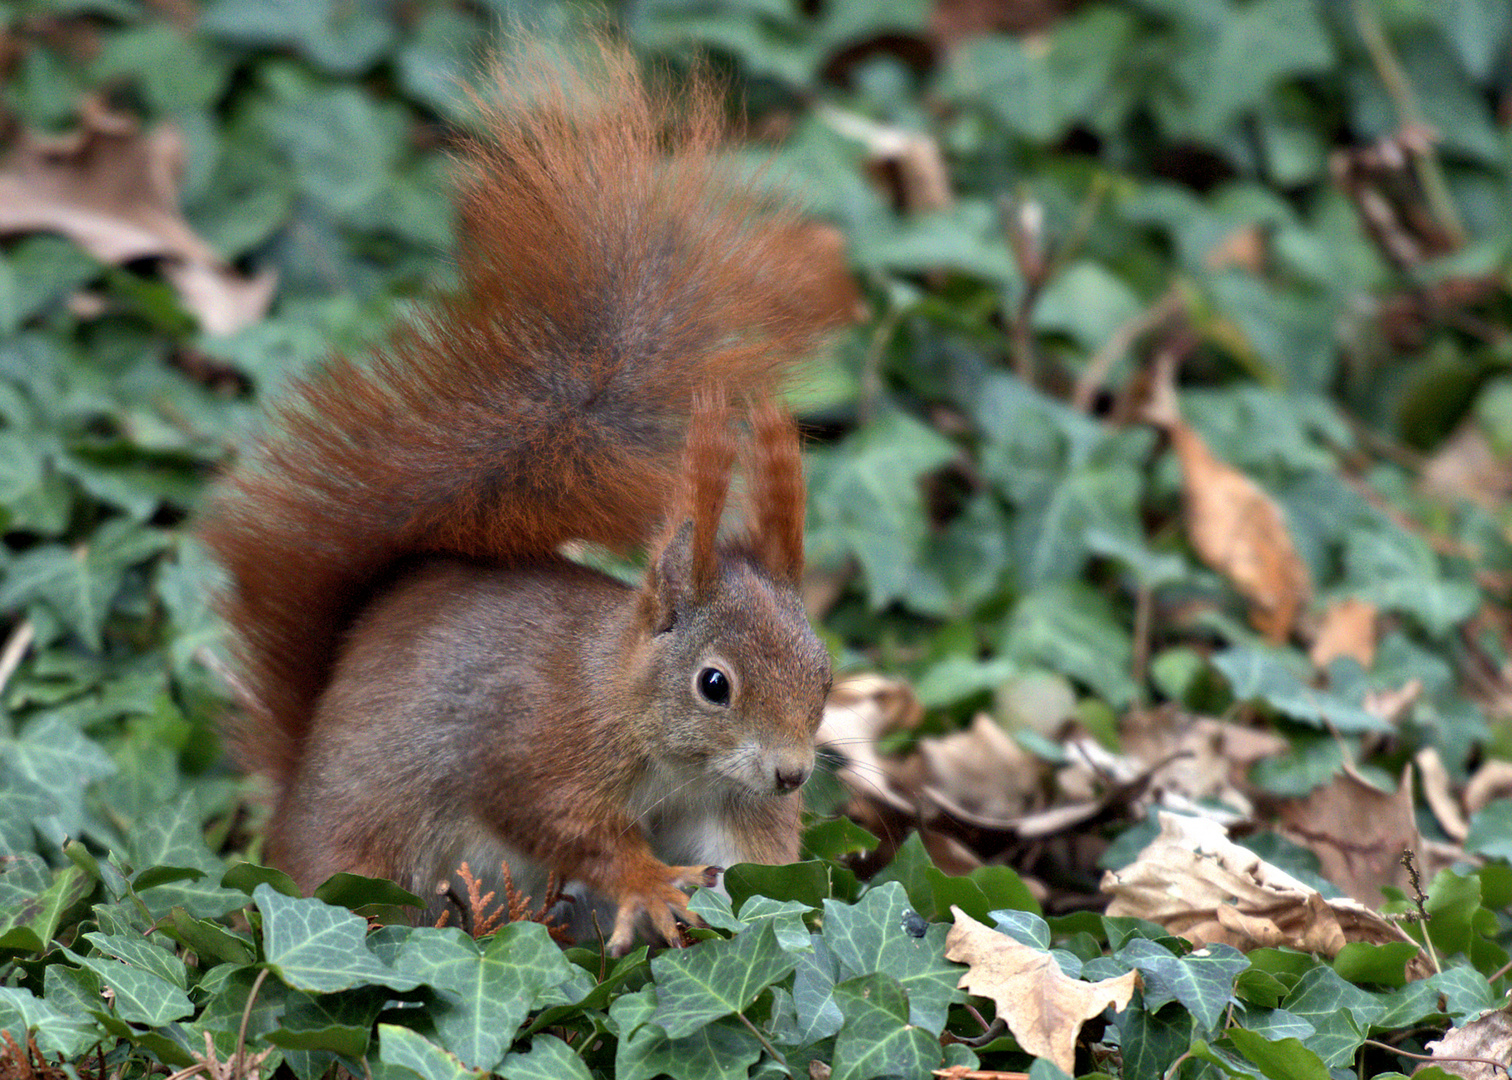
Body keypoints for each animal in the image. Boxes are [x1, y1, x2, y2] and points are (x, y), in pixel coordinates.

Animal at [198, 46, 852, 943]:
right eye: (713, 684)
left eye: (825, 675)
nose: (792, 774)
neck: (626, 706)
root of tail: (288, 812)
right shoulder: (536, 749)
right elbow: (560, 822)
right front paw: (649, 884)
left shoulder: (728, 803)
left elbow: (756, 864)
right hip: (363, 849)